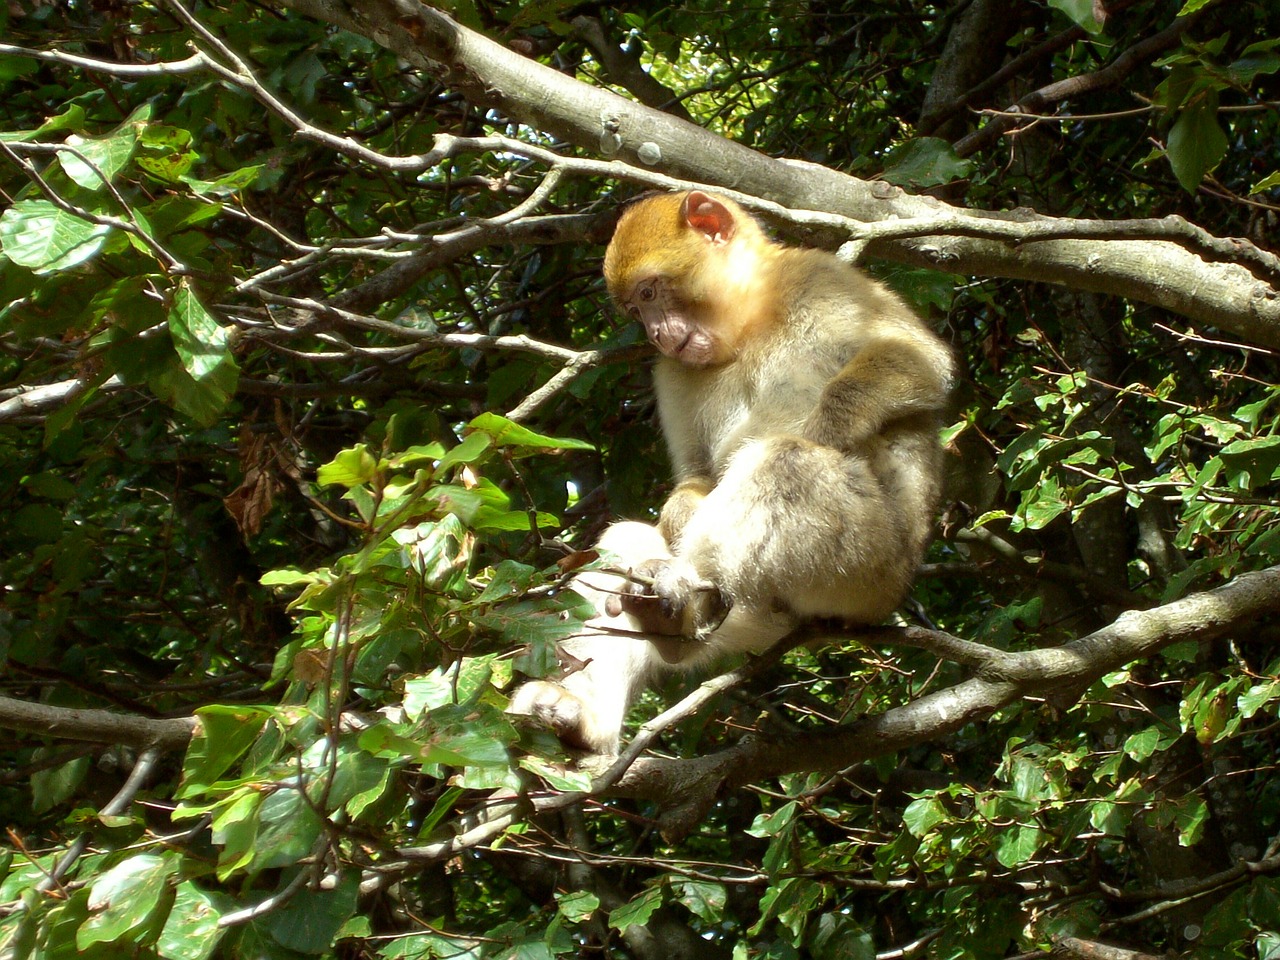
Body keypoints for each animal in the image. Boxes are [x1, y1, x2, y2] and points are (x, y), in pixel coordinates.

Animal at [509, 192, 952, 757]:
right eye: (635, 310)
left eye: (650, 292)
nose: (654, 332)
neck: (748, 325)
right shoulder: (671, 369)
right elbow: (696, 473)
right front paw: (680, 510)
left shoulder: (821, 276)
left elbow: (918, 362)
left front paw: (827, 426)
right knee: (624, 543)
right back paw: (607, 695)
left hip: (868, 575)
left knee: (788, 463)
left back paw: (680, 609)